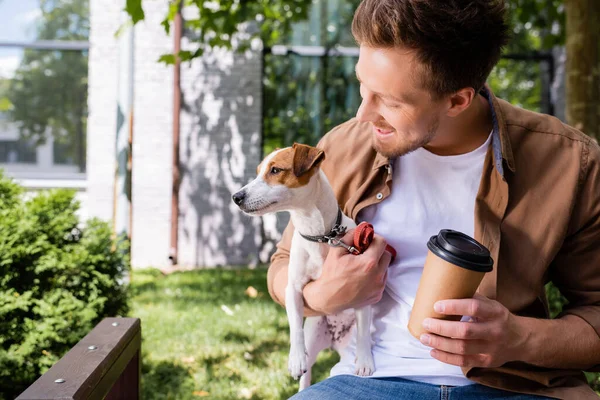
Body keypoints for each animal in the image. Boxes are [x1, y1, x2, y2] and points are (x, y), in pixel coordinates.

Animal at [231, 143, 376, 390]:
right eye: (258, 171)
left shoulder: (364, 288)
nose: (236, 196)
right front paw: (296, 358)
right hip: (314, 335)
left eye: (275, 170)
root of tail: (334, 342)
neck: (321, 235)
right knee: (307, 374)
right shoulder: (293, 289)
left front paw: (365, 360)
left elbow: (364, 330)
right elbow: (295, 327)